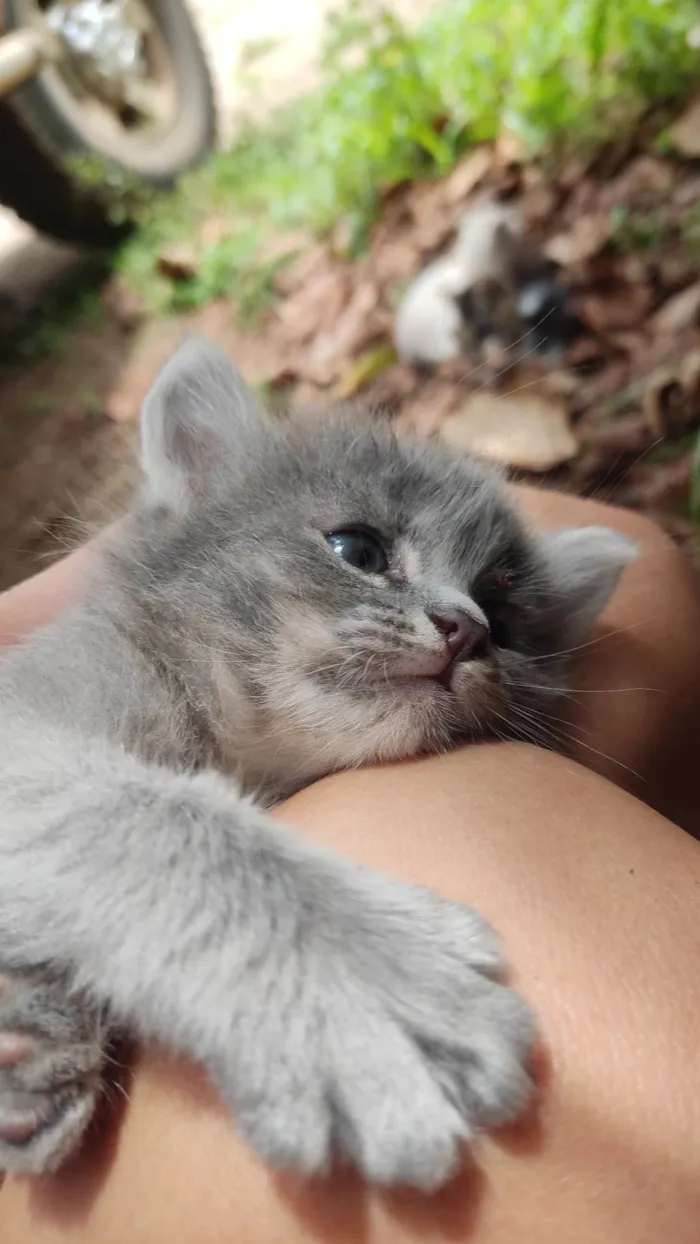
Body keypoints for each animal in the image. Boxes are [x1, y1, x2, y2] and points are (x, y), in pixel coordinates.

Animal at [0, 335, 636, 1189]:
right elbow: (171, 822)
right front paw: (368, 987)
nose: (467, 630)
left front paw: (34, 1046)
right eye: (358, 549)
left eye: (504, 620)